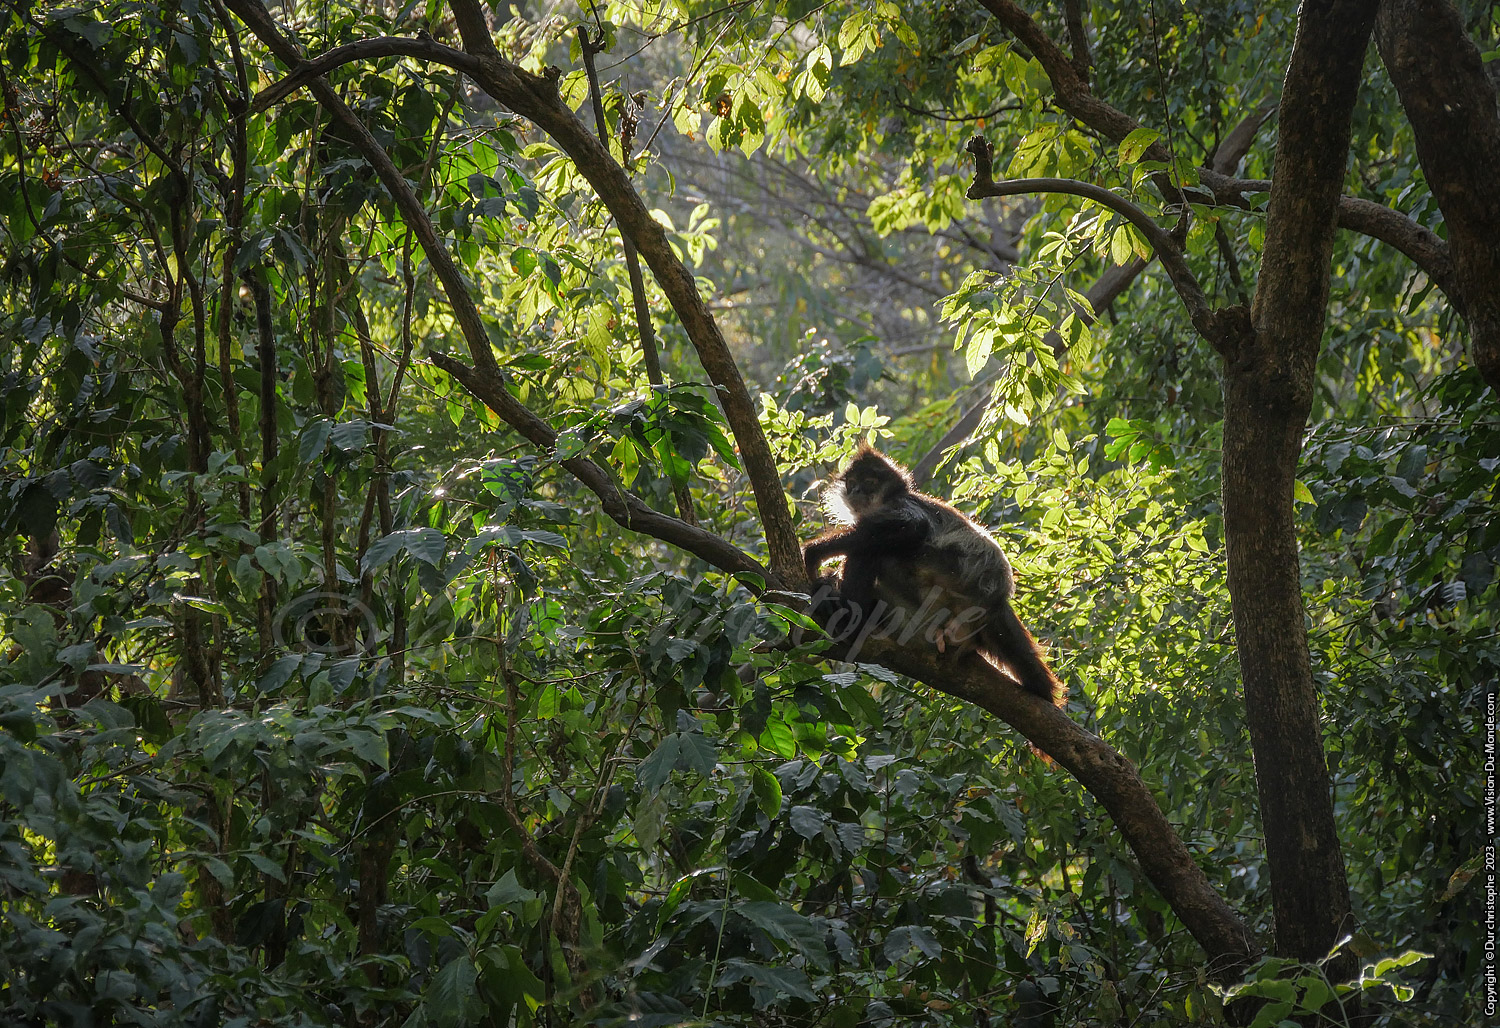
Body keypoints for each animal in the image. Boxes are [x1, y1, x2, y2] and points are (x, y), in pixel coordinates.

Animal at [802, 445, 1064, 705]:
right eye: (852, 483)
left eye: (869, 482)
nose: (855, 490)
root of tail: (996, 601)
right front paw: (827, 580)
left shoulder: (903, 506)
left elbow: (913, 527)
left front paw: (816, 552)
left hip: (946, 577)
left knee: (874, 550)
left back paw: (851, 616)